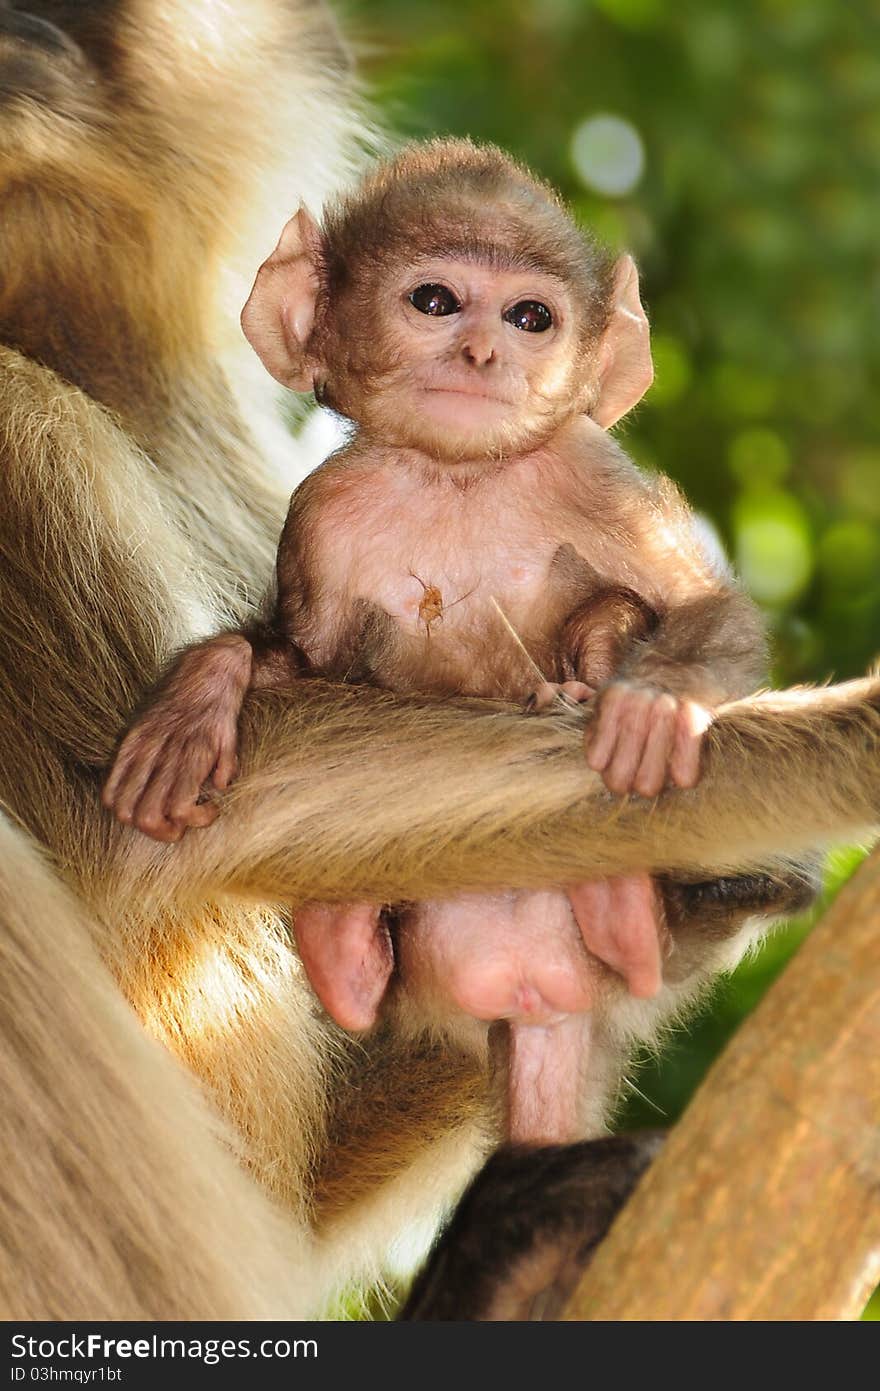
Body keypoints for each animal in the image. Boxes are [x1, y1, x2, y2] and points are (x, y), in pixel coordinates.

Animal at [102, 138, 767, 1140]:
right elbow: (301, 661)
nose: (483, 351)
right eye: (435, 301)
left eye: (531, 317)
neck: (457, 478)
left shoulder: (589, 468)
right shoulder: (321, 513)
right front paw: (196, 698)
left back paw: (616, 875)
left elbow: (698, 606)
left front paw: (655, 705)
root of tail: (533, 989)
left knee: (609, 615)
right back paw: (345, 945)